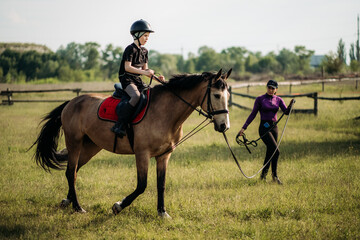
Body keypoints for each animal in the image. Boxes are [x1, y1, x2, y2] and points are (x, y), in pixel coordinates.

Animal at [32, 68, 232, 218]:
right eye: (216, 95)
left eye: (227, 95)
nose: (224, 126)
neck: (165, 112)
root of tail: (72, 102)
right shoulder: (142, 154)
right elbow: (142, 185)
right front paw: (118, 206)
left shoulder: (164, 156)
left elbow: (161, 184)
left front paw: (162, 212)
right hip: (74, 142)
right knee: (70, 172)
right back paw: (77, 207)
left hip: (90, 147)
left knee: (74, 171)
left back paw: (68, 201)